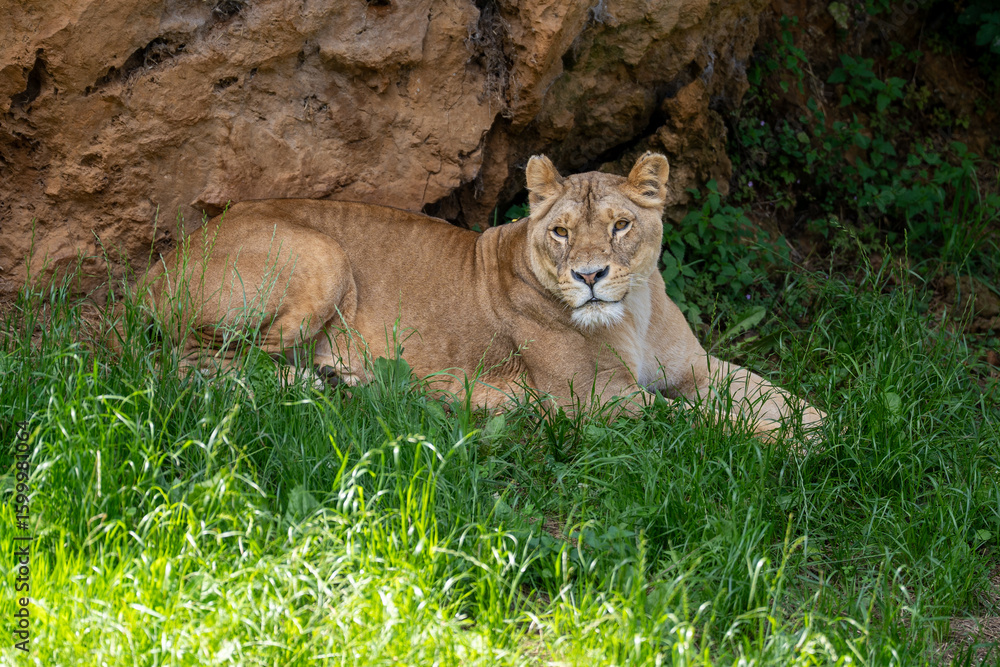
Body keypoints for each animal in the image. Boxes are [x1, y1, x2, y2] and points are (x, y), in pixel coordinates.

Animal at [121, 152, 824, 435]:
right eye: (561, 232)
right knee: (190, 363)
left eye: (621, 226)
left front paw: (826, 427)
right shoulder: (595, 402)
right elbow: (704, 421)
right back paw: (320, 384)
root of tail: (157, 266)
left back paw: (340, 379)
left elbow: (767, 393)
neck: (635, 314)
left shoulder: (696, 368)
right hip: (322, 256)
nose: (589, 277)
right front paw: (790, 444)